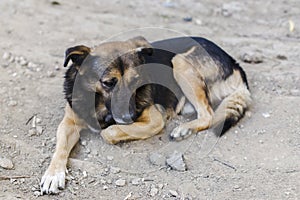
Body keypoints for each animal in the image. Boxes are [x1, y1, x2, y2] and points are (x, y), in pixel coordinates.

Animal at [39, 36, 251, 194]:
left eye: (136, 81)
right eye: (108, 83)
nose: (130, 116)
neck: (99, 104)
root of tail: (235, 63)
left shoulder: (154, 120)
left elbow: (109, 132)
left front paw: (111, 129)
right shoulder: (68, 122)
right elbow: (60, 149)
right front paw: (53, 174)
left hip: (179, 62)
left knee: (207, 114)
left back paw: (183, 129)